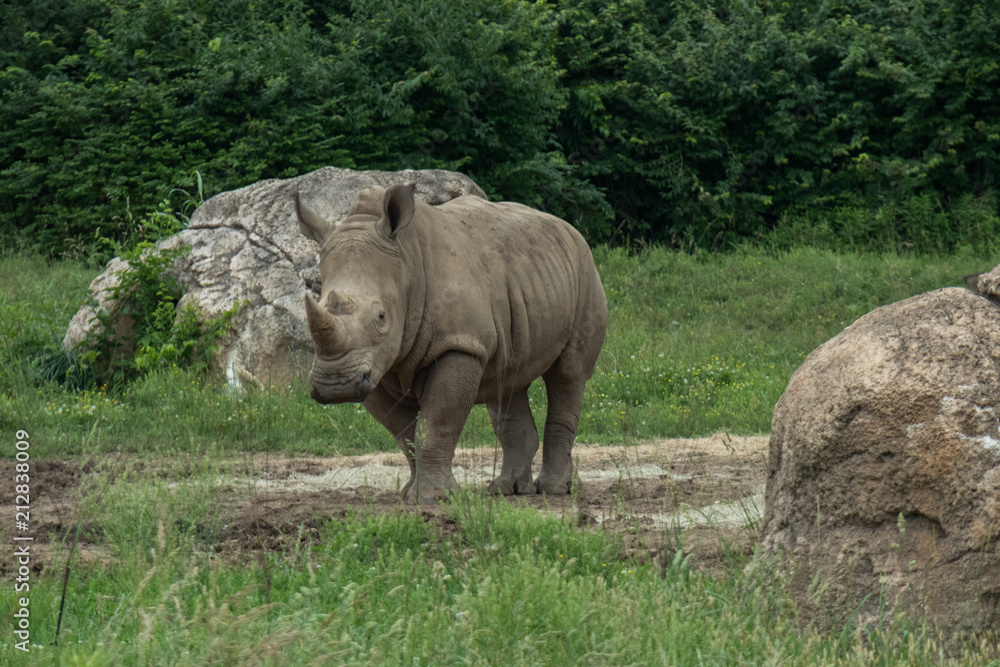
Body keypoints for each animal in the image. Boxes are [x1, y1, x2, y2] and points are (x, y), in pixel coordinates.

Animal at [295, 184, 607, 504]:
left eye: (381, 318)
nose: (335, 385)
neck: (406, 264)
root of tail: (568, 228)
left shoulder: (457, 344)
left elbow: (435, 424)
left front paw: (435, 497)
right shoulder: (374, 365)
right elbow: (404, 432)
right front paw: (410, 493)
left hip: (586, 273)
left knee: (568, 373)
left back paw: (554, 490)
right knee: (507, 379)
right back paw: (507, 490)